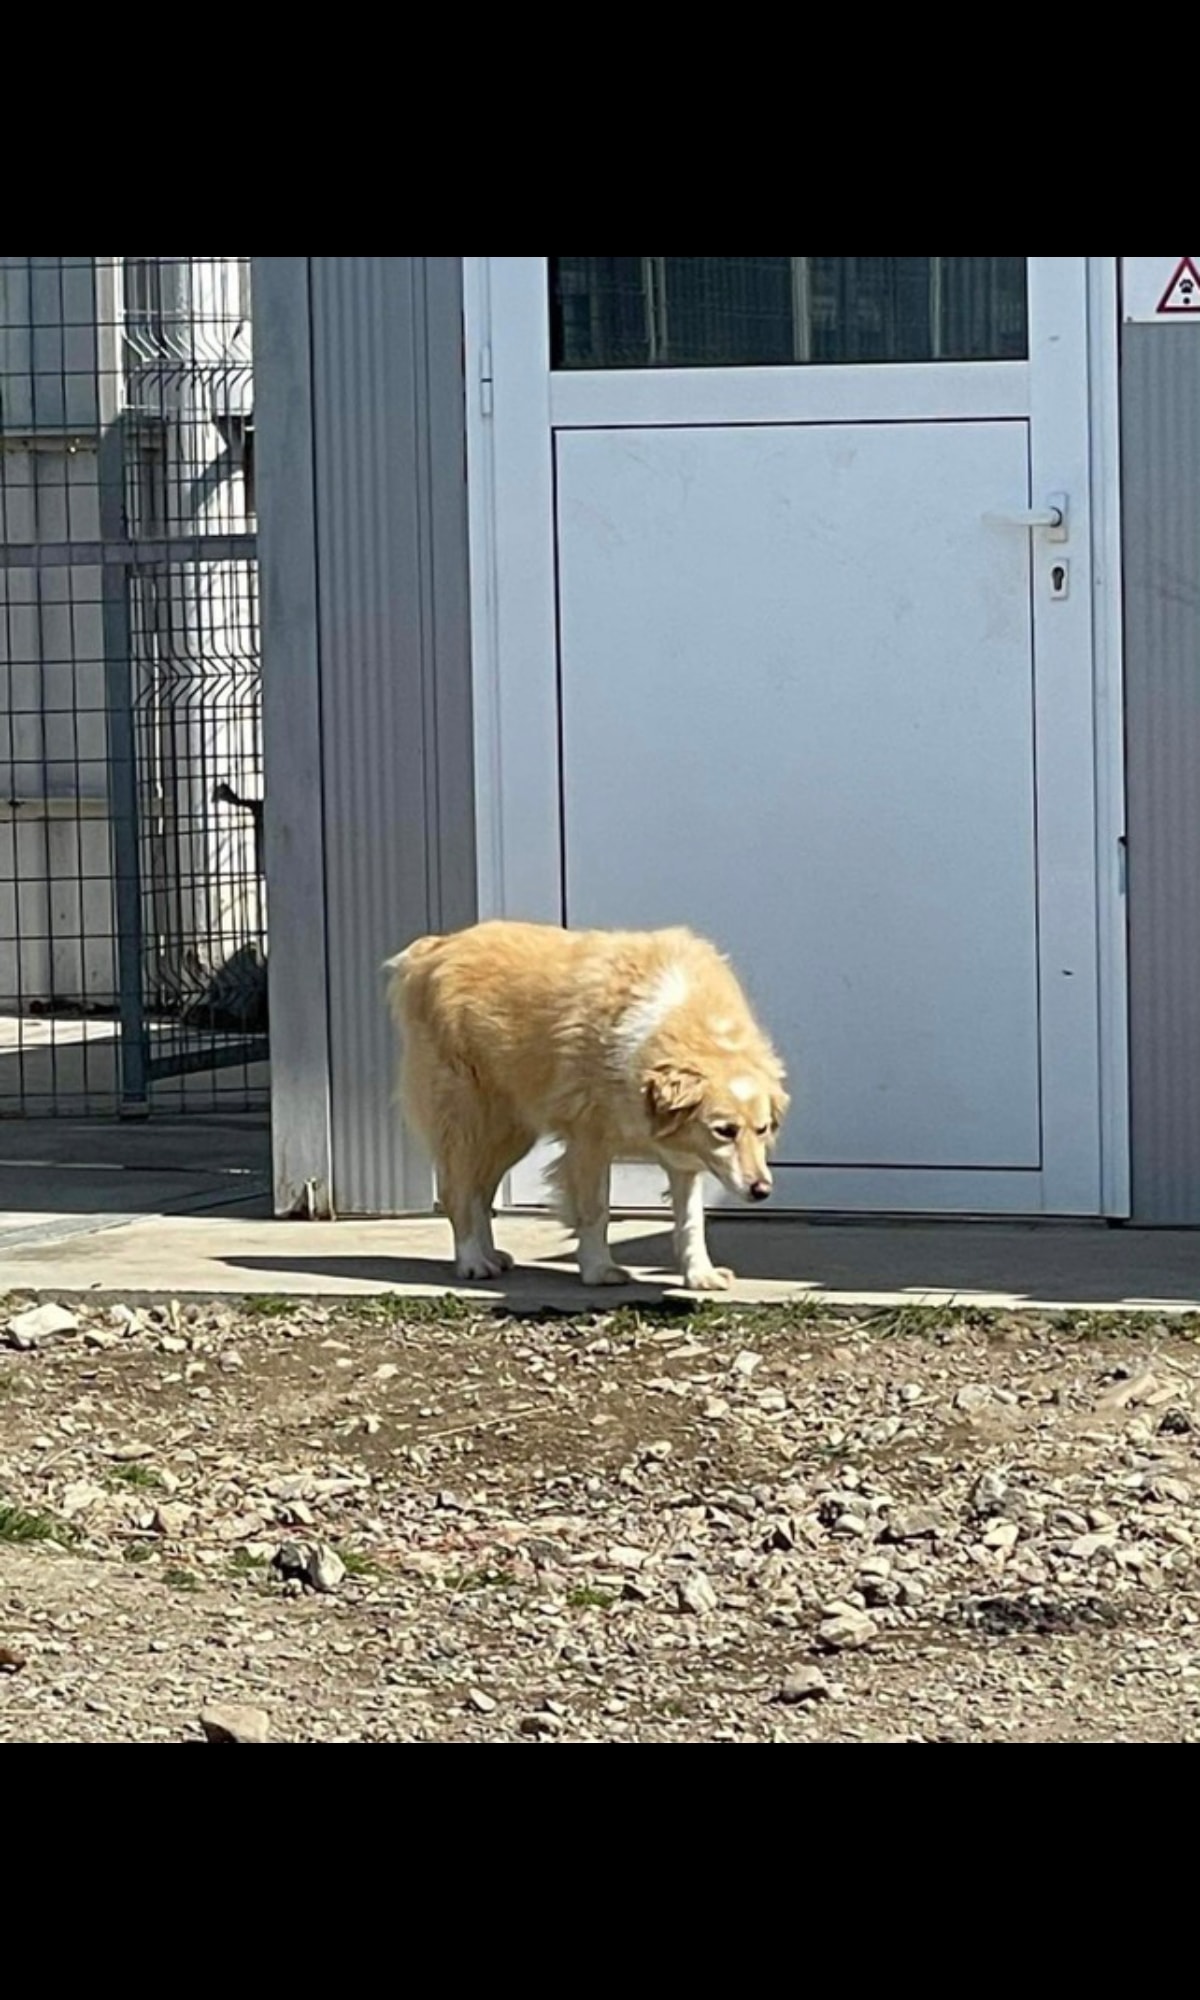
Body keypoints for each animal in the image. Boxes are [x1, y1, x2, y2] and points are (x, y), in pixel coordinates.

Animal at [385, 920, 789, 1291]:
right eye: (724, 1131)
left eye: (763, 1129)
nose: (762, 1191)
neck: (688, 1027)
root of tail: (435, 947)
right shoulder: (589, 1143)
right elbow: (595, 1211)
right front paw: (598, 1270)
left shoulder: (684, 1157)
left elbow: (691, 1220)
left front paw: (700, 1275)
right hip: (466, 1122)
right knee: (457, 1191)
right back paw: (472, 1262)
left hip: (510, 1134)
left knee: (480, 1194)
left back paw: (491, 1255)